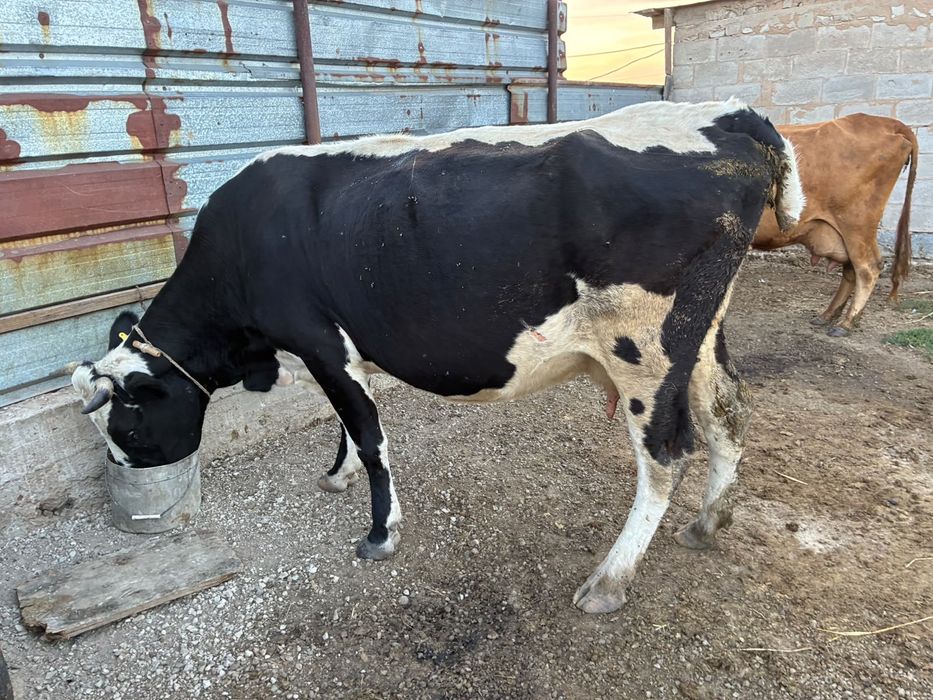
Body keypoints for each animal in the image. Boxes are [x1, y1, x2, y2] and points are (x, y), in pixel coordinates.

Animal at [72, 98, 803, 614]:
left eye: (126, 421)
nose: (123, 467)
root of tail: (730, 115)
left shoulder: (317, 340)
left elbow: (369, 435)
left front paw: (379, 533)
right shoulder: (340, 348)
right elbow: (350, 423)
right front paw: (336, 475)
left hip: (644, 350)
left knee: (666, 453)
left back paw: (609, 580)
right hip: (699, 335)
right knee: (728, 414)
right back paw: (709, 521)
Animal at [753, 114, 918, 337]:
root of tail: (881, 121)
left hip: (856, 223)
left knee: (868, 267)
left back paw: (846, 323)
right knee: (851, 269)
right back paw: (829, 315)